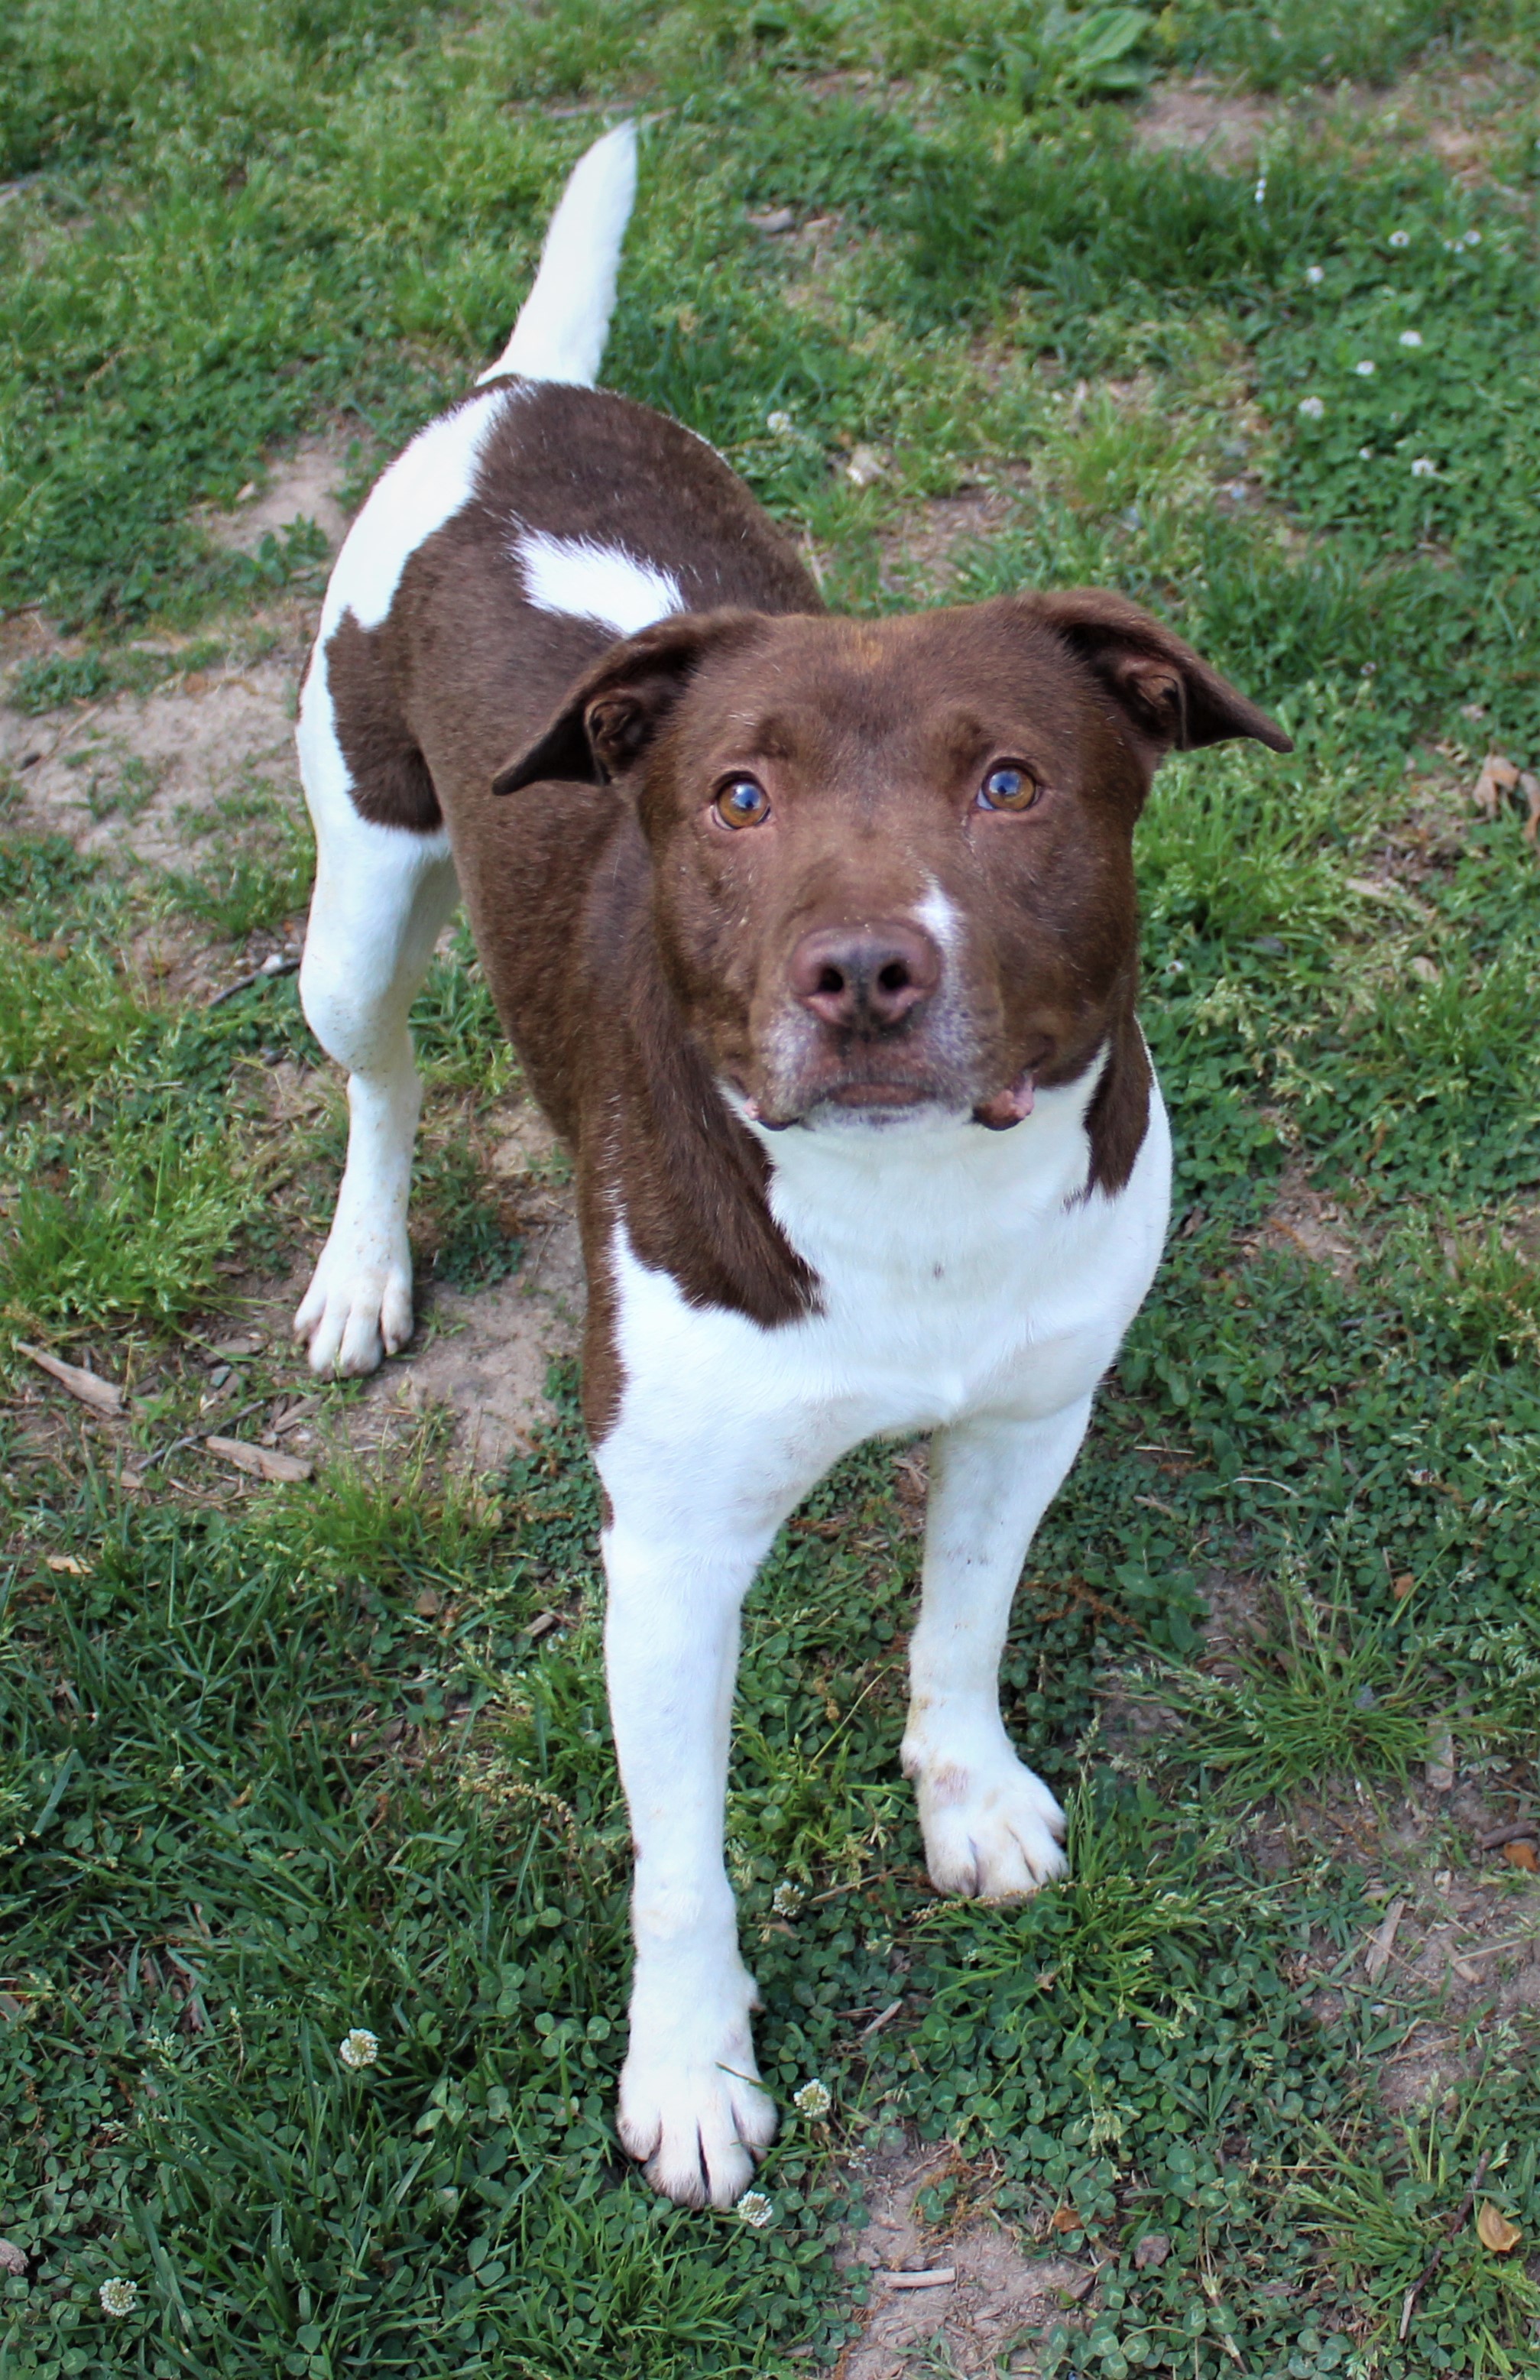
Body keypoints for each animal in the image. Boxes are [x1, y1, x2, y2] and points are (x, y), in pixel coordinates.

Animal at [289, 125, 1285, 2208]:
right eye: (734, 797)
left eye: (1010, 782)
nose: (861, 970)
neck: (908, 1205)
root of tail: (522, 391)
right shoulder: (667, 1555)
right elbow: (678, 1861)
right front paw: (686, 2070)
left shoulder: (1025, 1416)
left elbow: (958, 1627)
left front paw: (967, 1795)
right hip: (356, 896)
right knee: (384, 1074)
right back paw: (361, 1271)